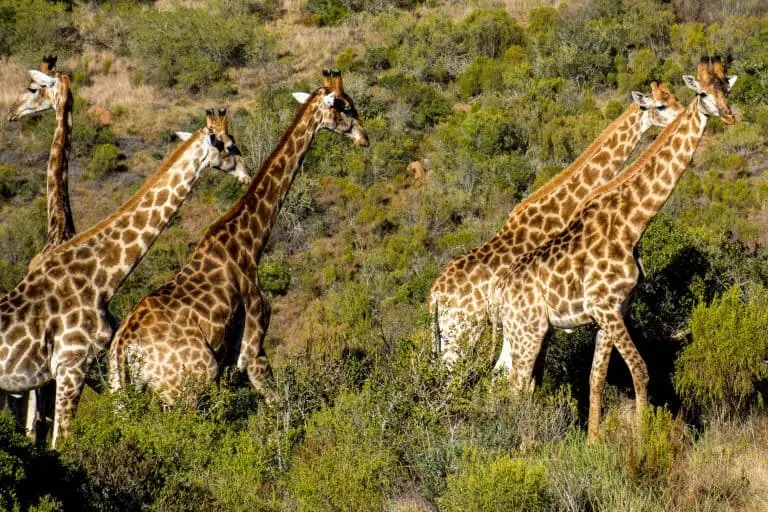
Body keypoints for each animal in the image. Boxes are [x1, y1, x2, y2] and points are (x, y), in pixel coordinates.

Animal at [108, 69, 368, 404]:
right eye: (345, 107)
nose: (364, 138)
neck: (249, 243)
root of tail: (124, 350)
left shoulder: (233, 359)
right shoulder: (252, 349)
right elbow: (278, 406)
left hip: (122, 395)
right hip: (189, 386)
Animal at [492, 56, 736, 440]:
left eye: (726, 89)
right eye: (702, 94)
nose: (728, 115)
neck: (631, 225)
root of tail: (502, 291)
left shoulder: (614, 310)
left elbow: (596, 377)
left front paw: (593, 442)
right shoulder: (606, 308)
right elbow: (640, 370)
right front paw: (643, 436)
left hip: (530, 331)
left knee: (518, 383)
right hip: (527, 330)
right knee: (516, 387)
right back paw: (522, 448)